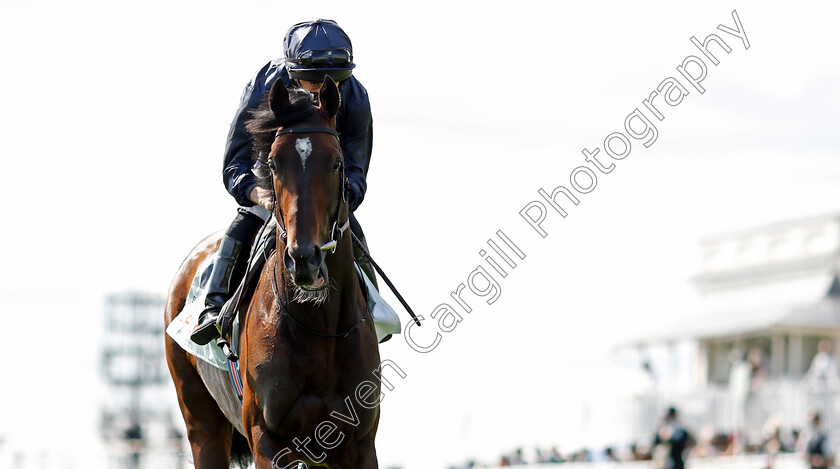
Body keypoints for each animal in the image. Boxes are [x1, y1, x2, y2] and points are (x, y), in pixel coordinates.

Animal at [164, 75, 380, 466]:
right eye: (275, 164)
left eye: (336, 163)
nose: (305, 259)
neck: (320, 330)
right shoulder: (267, 438)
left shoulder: (358, 442)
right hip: (201, 421)